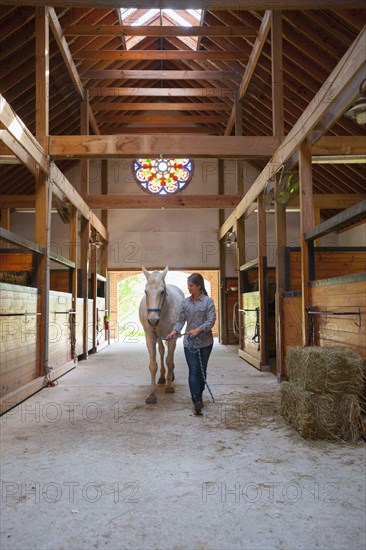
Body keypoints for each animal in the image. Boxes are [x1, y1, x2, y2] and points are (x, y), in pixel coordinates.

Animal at [140, 268, 186, 406]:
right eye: (146, 291)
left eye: (162, 291)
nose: (153, 320)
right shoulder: (150, 337)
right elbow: (153, 365)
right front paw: (151, 395)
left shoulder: (171, 337)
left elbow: (169, 360)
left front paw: (169, 386)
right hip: (159, 338)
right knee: (161, 352)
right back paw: (161, 377)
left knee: (169, 355)